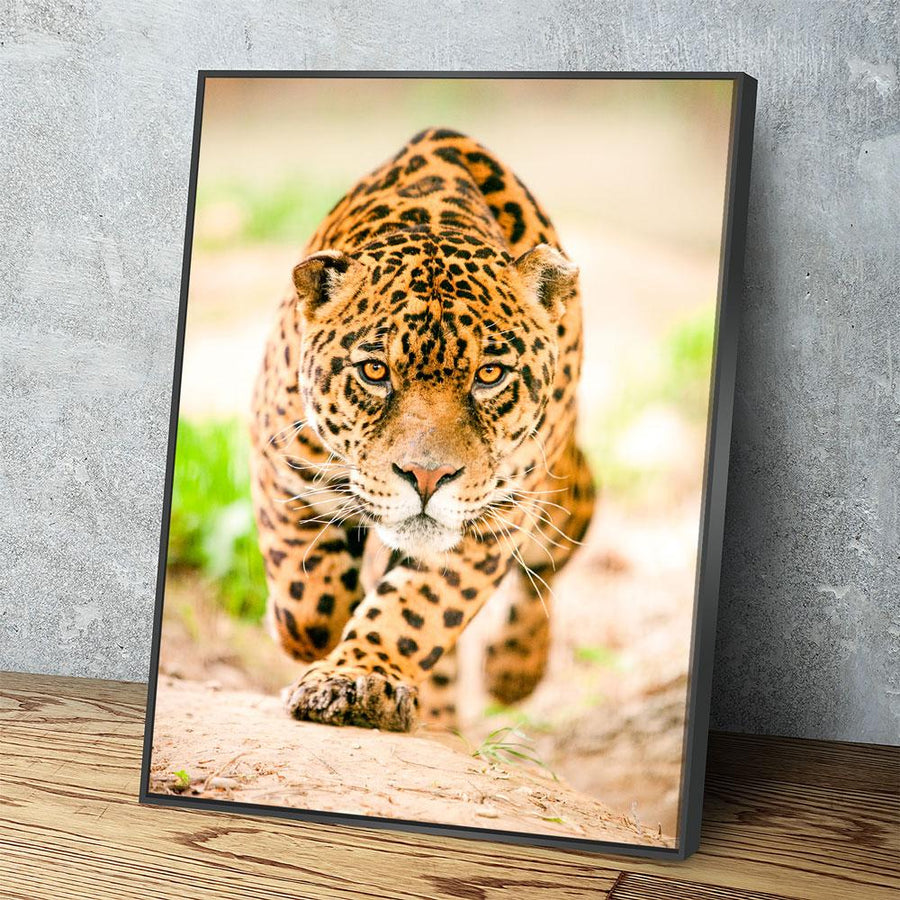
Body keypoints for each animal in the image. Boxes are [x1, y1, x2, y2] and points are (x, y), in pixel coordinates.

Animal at [249, 127, 595, 733]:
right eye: (374, 371)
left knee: (557, 545)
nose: (427, 478)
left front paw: (358, 679)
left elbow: (417, 610)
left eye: (489, 375)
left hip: (555, 495)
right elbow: (306, 600)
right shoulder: (282, 462)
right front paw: (307, 637)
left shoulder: (492, 518)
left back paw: (513, 669)